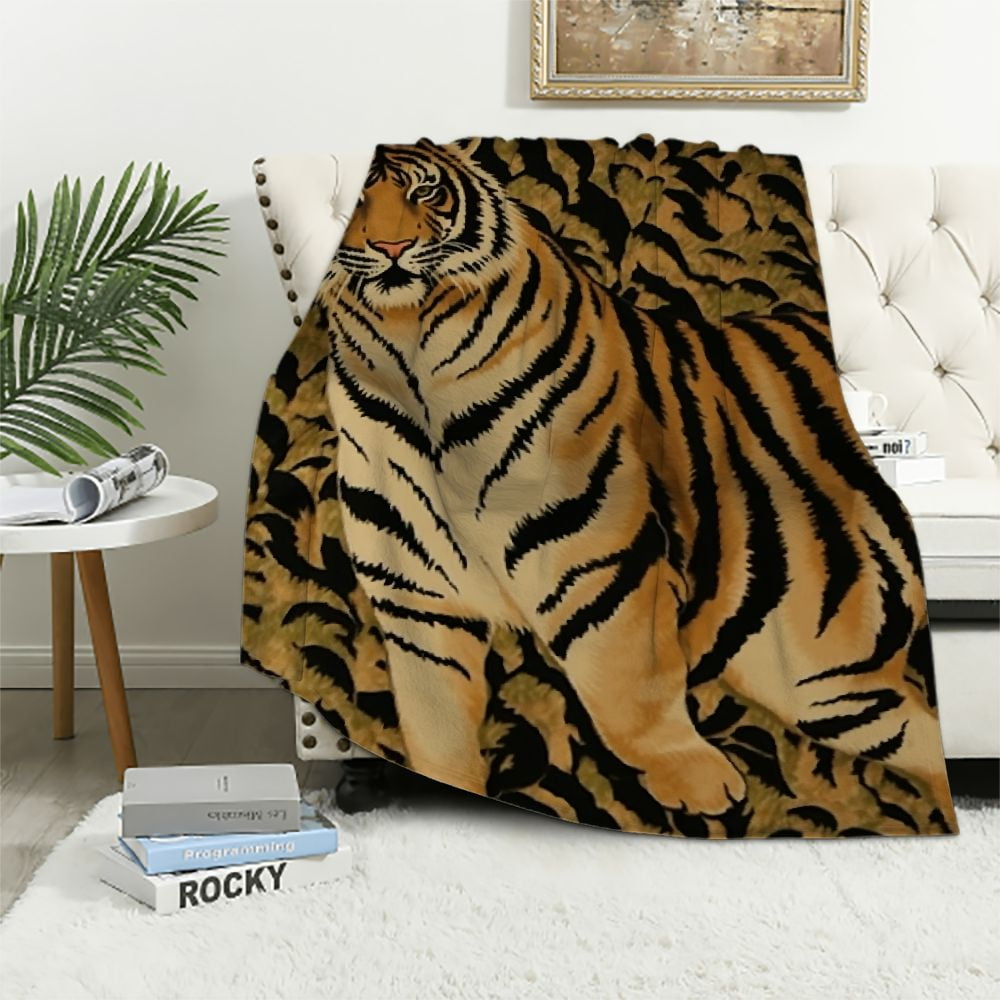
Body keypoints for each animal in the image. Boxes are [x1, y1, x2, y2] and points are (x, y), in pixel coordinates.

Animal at [307, 137, 954, 818]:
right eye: (358, 198)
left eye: (425, 192)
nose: (391, 247)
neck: (408, 355)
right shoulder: (417, 598)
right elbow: (435, 724)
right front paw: (446, 781)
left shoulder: (595, 560)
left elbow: (624, 681)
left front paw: (695, 778)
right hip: (832, 688)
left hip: (823, 667)